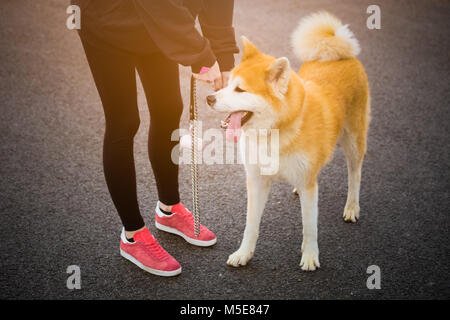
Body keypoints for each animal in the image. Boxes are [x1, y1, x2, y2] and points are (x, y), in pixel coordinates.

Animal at [207, 11, 370, 270]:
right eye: (228, 83)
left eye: (240, 90)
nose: (209, 98)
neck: (274, 133)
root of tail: (339, 53)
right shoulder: (257, 181)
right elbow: (250, 226)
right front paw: (244, 253)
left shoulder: (309, 186)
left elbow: (310, 227)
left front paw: (310, 255)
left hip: (354, 141)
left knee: (355, 175)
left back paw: (352, 207)